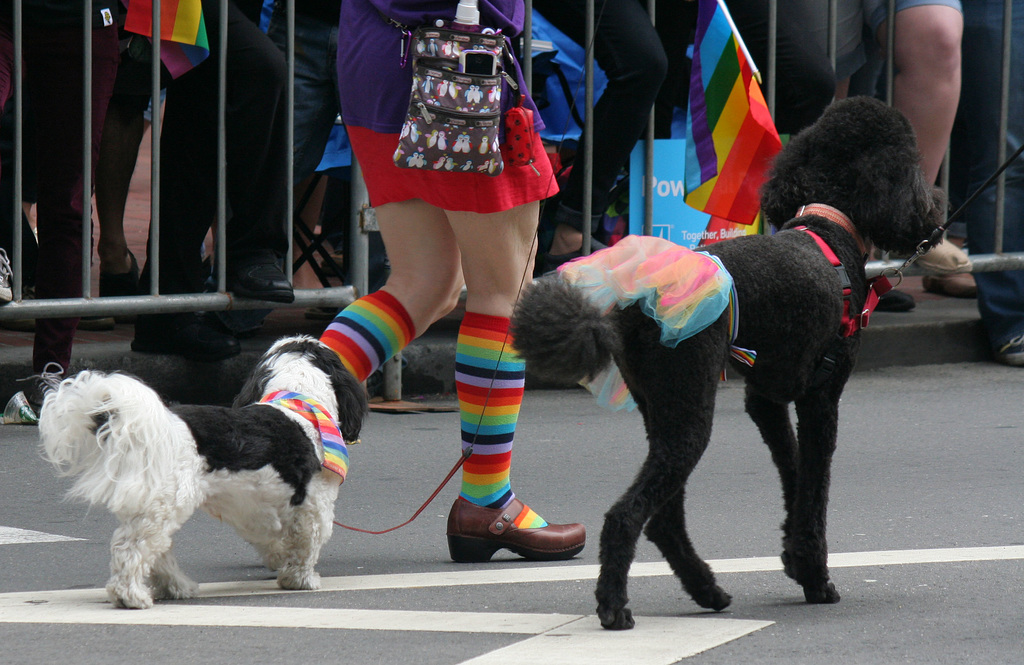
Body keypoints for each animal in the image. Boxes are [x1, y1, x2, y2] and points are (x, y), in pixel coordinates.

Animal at [39, 334, 368, 610]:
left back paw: (176, 586)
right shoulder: (314, 505)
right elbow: (306, 545)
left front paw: (279, 562)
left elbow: (273, 539)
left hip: (154, 507)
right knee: (131, 548)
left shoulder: (256, 510)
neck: (298, 398)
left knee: (156, 550)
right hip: (166, 504)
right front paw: (300, 580)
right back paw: (130, 595)